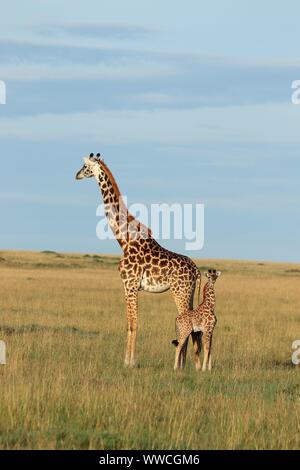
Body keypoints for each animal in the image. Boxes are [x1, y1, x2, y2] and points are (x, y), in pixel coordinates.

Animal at [76, 154, 200, 368]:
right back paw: (188, 364)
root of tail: (197, 271)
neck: (124, 240)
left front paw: (129, 361)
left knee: (186, 322)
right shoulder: (130, 286)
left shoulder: (129, 284)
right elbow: (130, 322)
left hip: (180, 292)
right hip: (189, 293)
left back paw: (179, 365)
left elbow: (133, 323)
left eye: (85, 166)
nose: (76, 175)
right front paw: (129, 359)